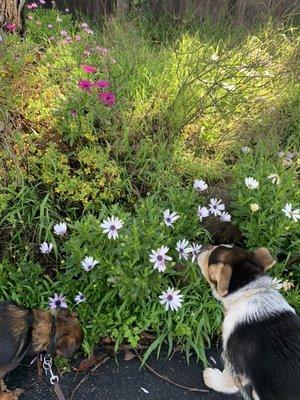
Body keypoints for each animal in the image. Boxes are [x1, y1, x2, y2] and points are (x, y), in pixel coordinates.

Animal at [197, 245, 300, 398]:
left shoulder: (236, 365)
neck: (251, 292)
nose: (203, 247)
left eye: (211, 257)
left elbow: (227, 381)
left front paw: (211, 378)